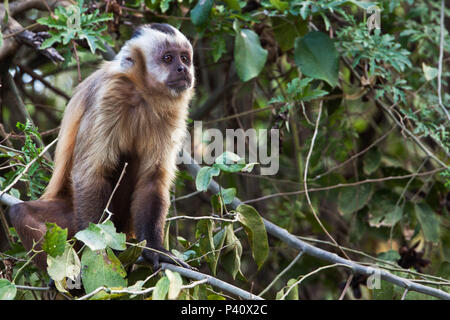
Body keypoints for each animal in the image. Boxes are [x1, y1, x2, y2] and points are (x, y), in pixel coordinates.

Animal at [7, 23, 193, 270]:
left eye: (185, 58)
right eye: (168, 58)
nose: (183, 69)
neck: (141, 92)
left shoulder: (171, 112)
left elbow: (152, 179)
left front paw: (154, 250)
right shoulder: (109, 96)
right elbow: (91, 174)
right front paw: (100, 247)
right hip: (71, 220)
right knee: (21, 212)